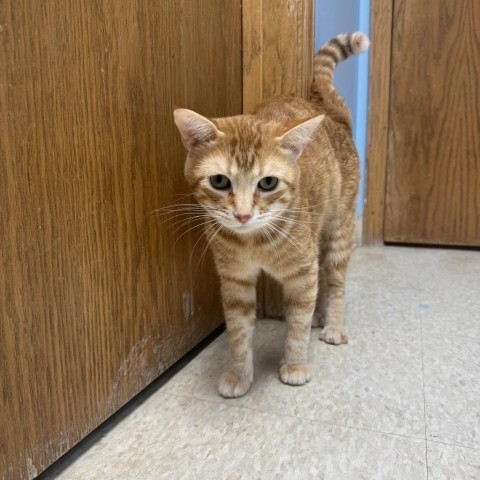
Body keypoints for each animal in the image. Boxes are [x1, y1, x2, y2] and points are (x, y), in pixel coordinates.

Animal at [174, 31, 370, 396]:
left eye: (267, 183)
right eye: (219, 181)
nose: (242, 215)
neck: (253, 242)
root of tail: (330, 113)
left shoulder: (302, 274)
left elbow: (297, 324)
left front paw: (294, 365)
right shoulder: (235, 279)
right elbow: (238, 333)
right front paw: (239, 374)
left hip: (339, 227)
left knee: (335, 279)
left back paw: (333, 324)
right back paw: (321, 316)